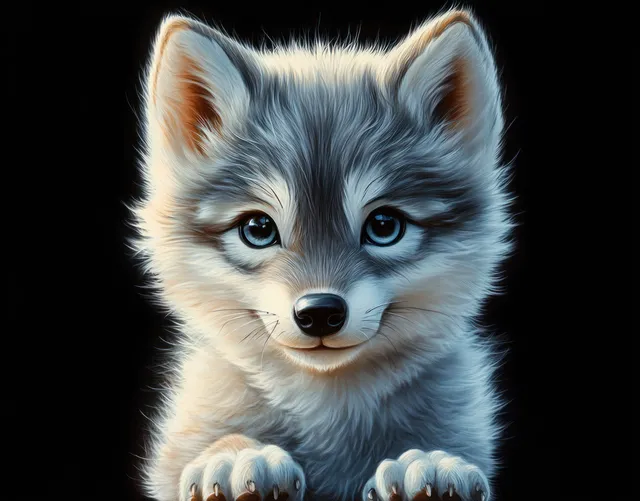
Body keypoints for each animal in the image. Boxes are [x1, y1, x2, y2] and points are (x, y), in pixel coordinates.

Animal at [131, 7, 513, 501]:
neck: (327, 405)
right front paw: (238, 456)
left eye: (384, 226)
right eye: (259, 229)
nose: (319, 312)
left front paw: (429, 462)